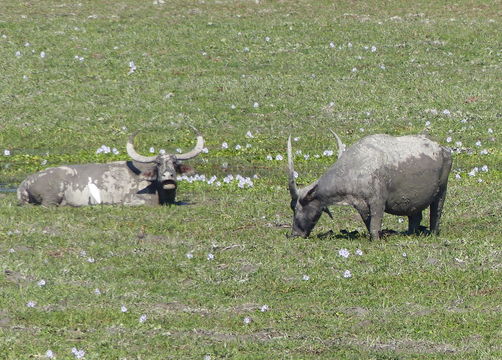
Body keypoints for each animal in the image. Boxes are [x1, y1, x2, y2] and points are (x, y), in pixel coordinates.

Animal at [288, 131, 452, 239]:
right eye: (292, 206)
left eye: (298, 206)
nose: (295, 234)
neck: (355, 167)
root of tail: (443, 149)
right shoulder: (361, 205)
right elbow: (368, 222)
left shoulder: (377, 202)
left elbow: (374, 226)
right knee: (415, 217)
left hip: (441, 192)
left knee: (436, 213)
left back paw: (433, 233)